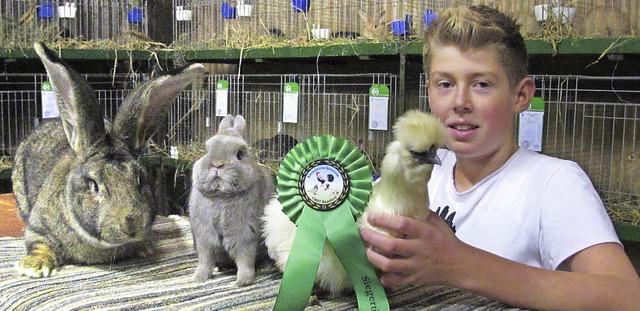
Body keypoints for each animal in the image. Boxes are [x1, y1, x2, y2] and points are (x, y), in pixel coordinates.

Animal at [11, 42, 205, 280]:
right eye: (93, 185)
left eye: (140, 180)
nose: (131, 223)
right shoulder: (37, 228)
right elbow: (39, 245)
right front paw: (34, 267)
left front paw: (145, 248)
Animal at [188, 115, 272, 288]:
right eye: (207, 150)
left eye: (239, 155)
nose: (217, 164)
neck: (221, 196)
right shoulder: (205, 237)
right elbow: (205, 259)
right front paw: (199, 278)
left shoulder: (244, 235)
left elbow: (245, 259)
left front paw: (243, 282)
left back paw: (263, 267)